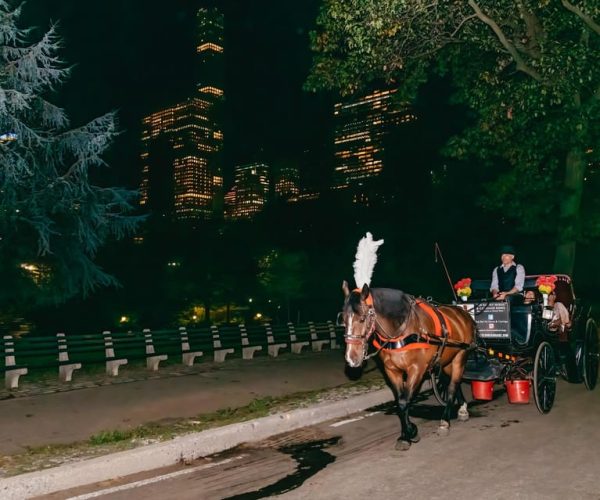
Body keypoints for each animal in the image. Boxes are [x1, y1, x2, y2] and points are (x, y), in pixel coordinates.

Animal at [344, 282, 476, 450]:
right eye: (343, 319)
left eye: (362, 318)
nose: (351, 358)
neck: (402, 330)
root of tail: (462, 313)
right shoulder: (392, 371)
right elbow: (401, 402)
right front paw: (407, 434)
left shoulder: (417, 369)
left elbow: (404, 401)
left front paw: (409, 432)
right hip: (447, 360)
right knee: (452, 382)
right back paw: (462, 407)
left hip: (461, 356)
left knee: (453, 386)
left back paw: (445, 422)